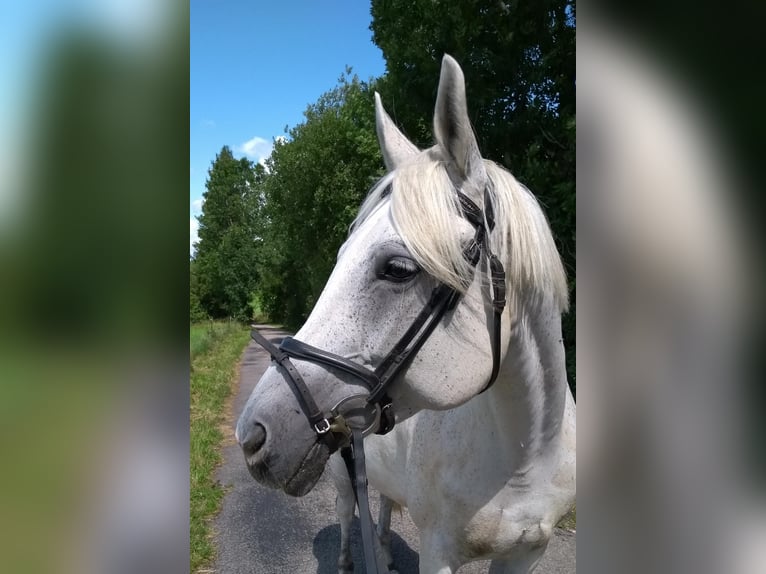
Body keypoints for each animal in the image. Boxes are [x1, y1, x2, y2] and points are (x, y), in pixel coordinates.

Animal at [237, 55, 580, 574]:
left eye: (398, 268)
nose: (252, 435)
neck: (525, 456)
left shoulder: (526, 553)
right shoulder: (438, 551)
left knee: (381, 504)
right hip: (340, 476)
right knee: (346, 514)